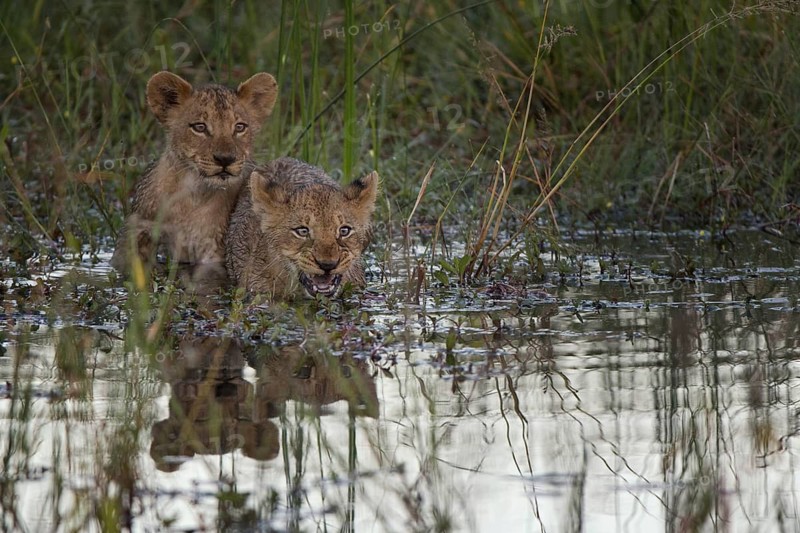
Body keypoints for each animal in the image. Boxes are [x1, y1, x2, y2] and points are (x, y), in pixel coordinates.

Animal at [110, 70, 278, 273]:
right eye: (200, 127)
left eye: (240, 127)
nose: (225, 159)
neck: (193, 193)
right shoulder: (136, 231)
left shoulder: (213, 251)